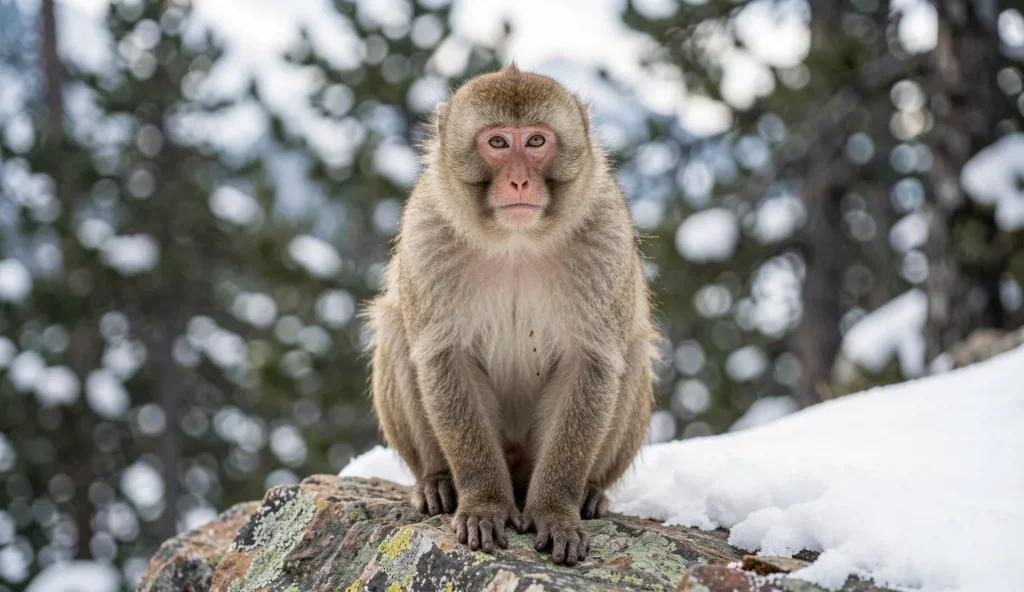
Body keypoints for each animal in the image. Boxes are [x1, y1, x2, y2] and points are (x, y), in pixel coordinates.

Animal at [364, 65, 657, 566]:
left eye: (536, 141)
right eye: (498, 142)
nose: (519, 181)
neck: (516, 241)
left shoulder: (605, 234)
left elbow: (592, 362)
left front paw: (556, 509)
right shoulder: (427, 232)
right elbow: (445, 358)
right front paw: (484, 503)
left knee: (632, 351)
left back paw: (590, 491)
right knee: (398, 331)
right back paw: (437, 482)